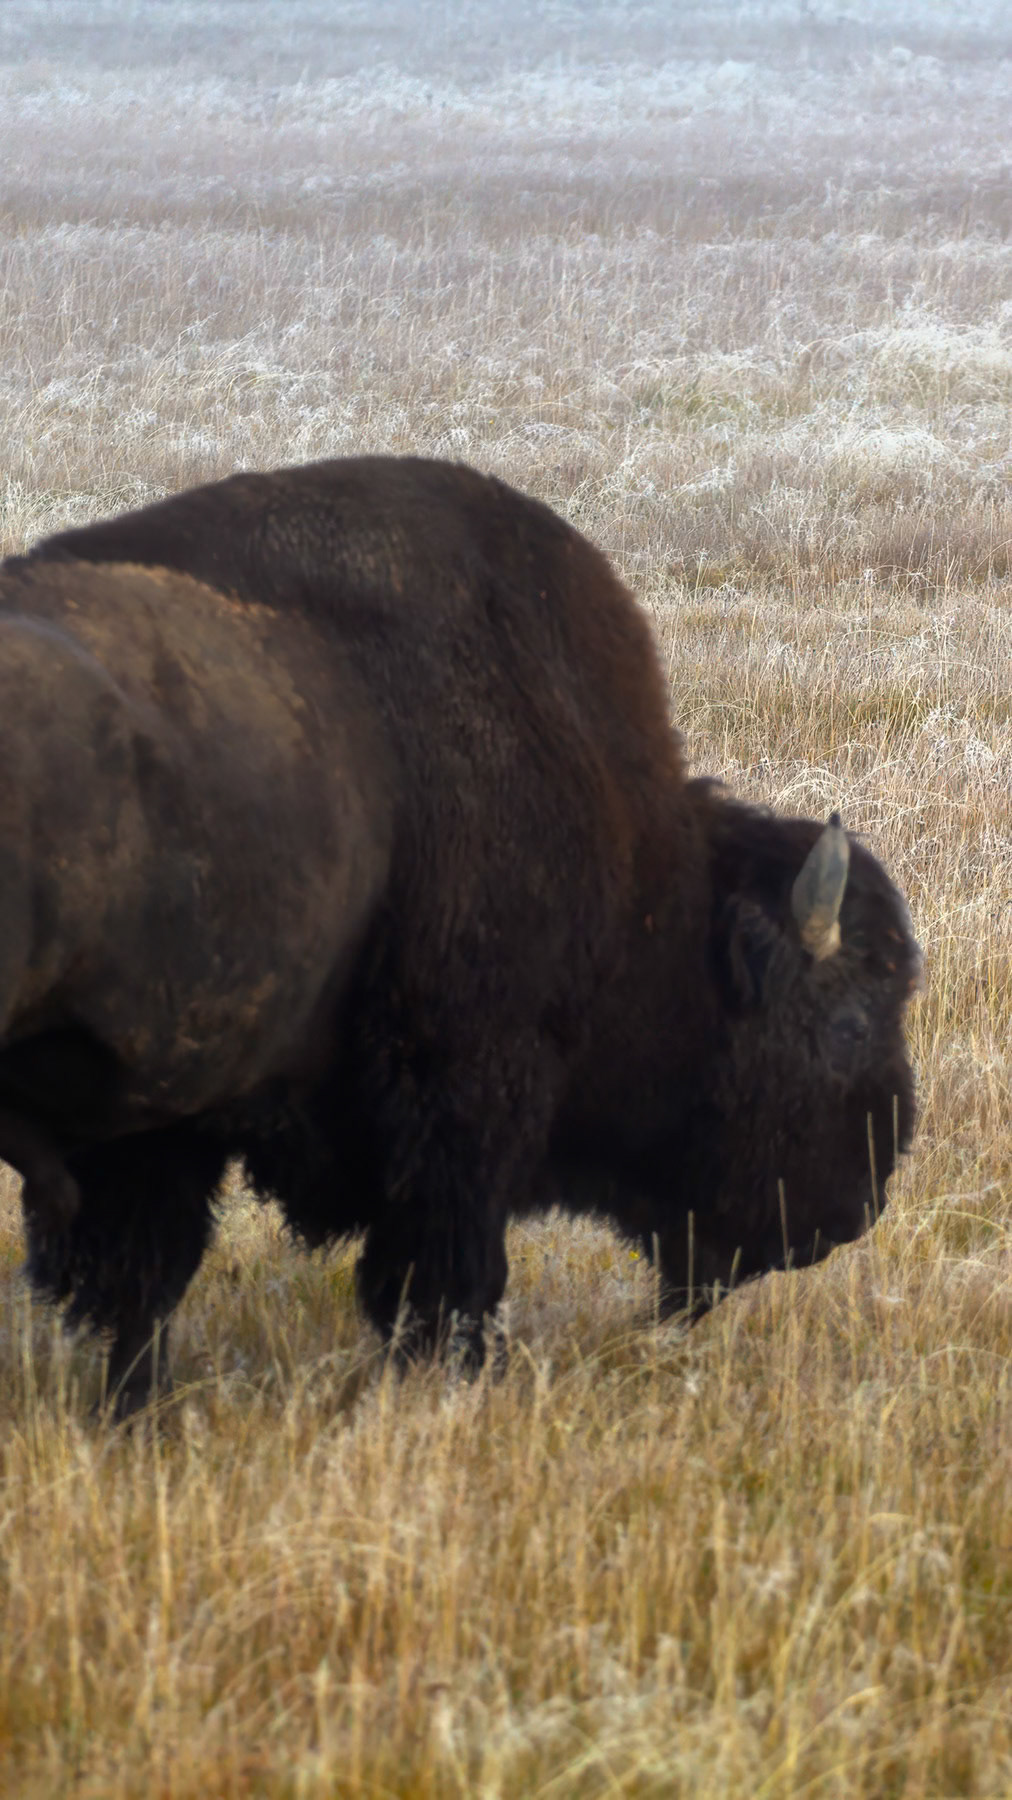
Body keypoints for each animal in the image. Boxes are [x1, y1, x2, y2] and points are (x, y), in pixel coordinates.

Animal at [0, 457, 919, 1412]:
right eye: (847, 1025)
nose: (863, 1200)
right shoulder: (462, 1092)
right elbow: (439, 1276)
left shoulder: (153, 1117)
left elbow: (144, 1283)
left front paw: (136, 1412)